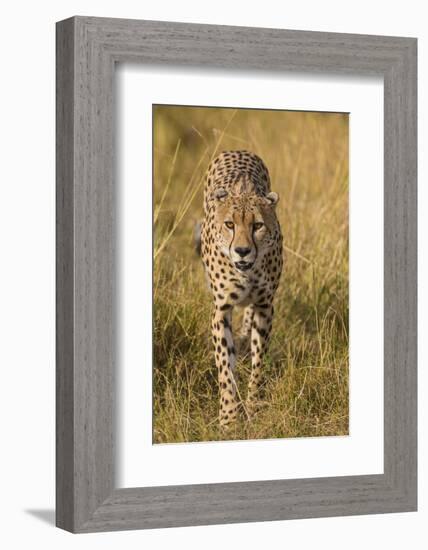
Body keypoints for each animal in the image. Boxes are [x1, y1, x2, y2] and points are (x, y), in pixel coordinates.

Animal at [198, 152, 284, 432]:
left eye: (257, 225)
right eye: (229, 224)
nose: (243, 251)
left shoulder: (265, 306)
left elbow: (258, 363)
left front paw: (253, 407)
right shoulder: (221, 309)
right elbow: (225, 367)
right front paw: (228, 417)